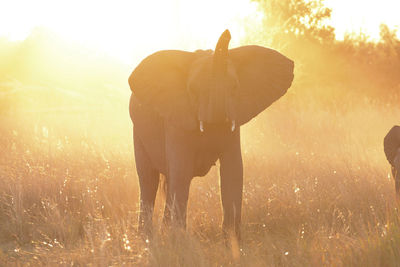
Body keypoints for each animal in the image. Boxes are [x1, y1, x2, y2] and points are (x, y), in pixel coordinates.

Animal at [127, 29, 294, 241]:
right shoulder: (176, 118)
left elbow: (233, 170)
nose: (228, 32)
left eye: (235, 87)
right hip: (138, 131)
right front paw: (180, 241)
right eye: (192, 90)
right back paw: (146, 238)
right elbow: (182, 171)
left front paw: (232, 241)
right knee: (148, 179)